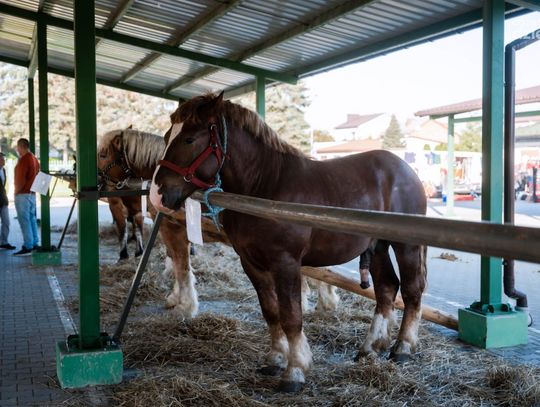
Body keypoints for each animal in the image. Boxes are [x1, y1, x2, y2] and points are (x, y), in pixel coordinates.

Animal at [97, 128, 340, 318]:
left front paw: (185, 306)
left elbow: (181, 266)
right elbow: (176, 263)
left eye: (102, 154)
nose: (97, 181)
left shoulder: (173, 230)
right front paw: (175, 298)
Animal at [150, 92, 427, 392]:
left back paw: (402, 348)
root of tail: (406, 170)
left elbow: (292, 316)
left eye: (189, 139)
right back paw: (370, 347)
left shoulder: (286, 263)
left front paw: (295, 370)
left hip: (406, 247)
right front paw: (275, 359)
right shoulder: (251, 263)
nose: (157, 195)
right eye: (167, 136)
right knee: (386, 288)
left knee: (411, 290)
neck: (266, 186)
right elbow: (271, 312)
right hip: (377, 247)